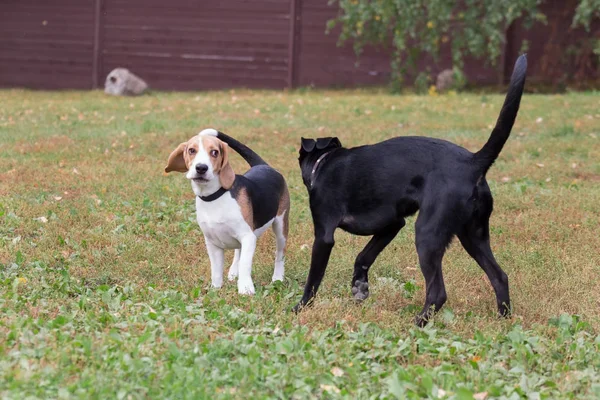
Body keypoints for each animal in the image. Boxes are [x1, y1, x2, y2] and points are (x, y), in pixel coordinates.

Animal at [165, 128, 290, 294]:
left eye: (215, 152)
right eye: (191, 150)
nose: (201, 168)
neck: (214, 197)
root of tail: (263, 165)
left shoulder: (248, 237)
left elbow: (245, 264)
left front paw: (245, 288)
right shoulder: (212, 243)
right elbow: (216, 269)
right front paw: (215, 289)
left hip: (281, 225)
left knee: (279, 254)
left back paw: (277, 278)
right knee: (238, 251)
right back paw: (234, 271)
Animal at [294, 54, 524, 326]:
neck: (324, 162)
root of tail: (473, 162)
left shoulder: (324, 235)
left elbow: (313, 279)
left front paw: (299, 307)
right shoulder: (392, 224)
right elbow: (363, 256)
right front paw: (360, 286)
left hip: (427, 234)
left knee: (438, 292)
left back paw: (418, 322)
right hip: (473, 235)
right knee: (500, 276)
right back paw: (503, 319)